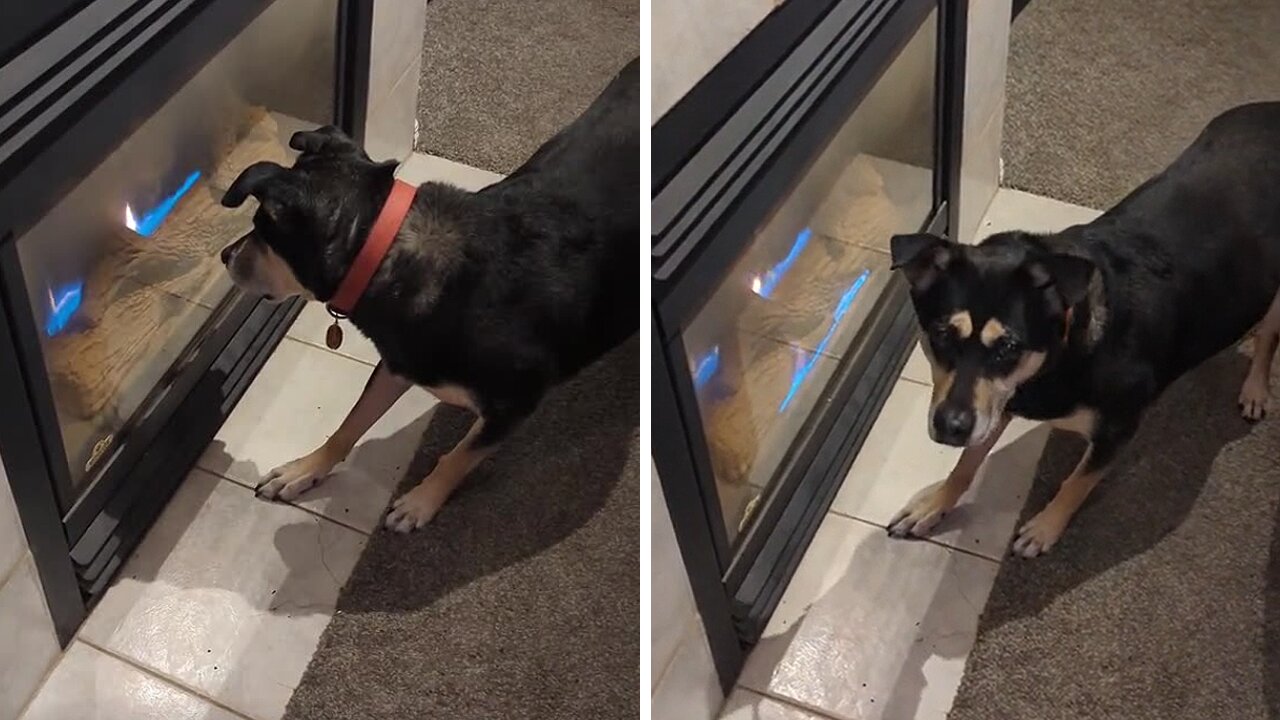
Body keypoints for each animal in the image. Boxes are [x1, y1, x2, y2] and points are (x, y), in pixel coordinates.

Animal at [218, 58, 640, 530]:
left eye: (263, 227)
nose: (225, 255)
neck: (386, 250)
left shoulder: (515, 403)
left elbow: (459, 457)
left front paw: (421, 502)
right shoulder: (399, 362)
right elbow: (351, 422)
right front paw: (306, 469)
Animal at [885, 102, 1280, 556]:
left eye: (1008, 347)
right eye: (942, 335)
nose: (950, 428)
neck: (1064, 352)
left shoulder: (1116, 430)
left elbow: (1077, 482)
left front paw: (1044, 528)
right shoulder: (996, 403)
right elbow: (967, 463)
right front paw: (933, 504)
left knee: (1270, 335)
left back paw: (1255, 389)